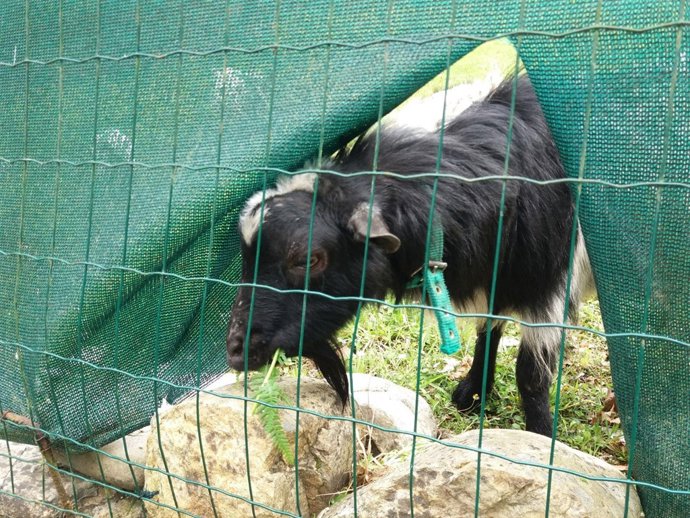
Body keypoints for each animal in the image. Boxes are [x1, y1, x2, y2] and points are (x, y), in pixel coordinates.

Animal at [226, 76, 594, 436]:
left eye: (307, 259)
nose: (236, 351)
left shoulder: (550, 289)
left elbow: (530, 373)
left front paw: (540, 435)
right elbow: (487, 333)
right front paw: (473, 392)